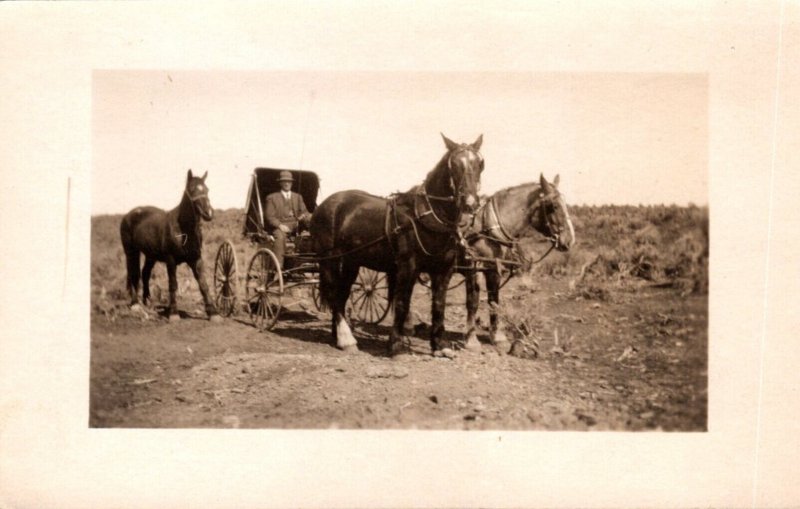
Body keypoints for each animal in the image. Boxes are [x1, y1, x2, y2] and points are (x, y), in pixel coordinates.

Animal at [119, 171, 220, 322]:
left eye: (207, 190)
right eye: (192, 189)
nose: (208, 213)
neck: (183, 229)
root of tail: (128, 215)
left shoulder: (196, 259)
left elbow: (203, 284)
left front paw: (213, 313)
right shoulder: (171, 260)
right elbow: (173, 285)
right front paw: (173, 313)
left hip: (150, 256)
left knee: (145, 273)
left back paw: (147, 301)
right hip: (131, 252)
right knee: (134, 274)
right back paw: (135, 304)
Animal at [310, 135, 484, 358]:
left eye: (479, 163)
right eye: (453, 164)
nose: (470, 203)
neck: (424, 218)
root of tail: (325, 204)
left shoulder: (443, 271)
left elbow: (439, 305)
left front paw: (439, 345)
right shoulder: (406, 267)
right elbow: (402, 303)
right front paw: (396, 344)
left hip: (351, 262)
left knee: (341, 295)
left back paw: (338, 335)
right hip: (329, 260)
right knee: (333, 293)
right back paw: (346, 338)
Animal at [460, 173, 572, 352]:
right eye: (553, 206)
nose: (569, 240)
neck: (488, 227)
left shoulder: (493, 268)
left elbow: (494, 301)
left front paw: (497, 337)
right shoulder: (473, 268)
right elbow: (473, 302)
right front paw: (471, 340)